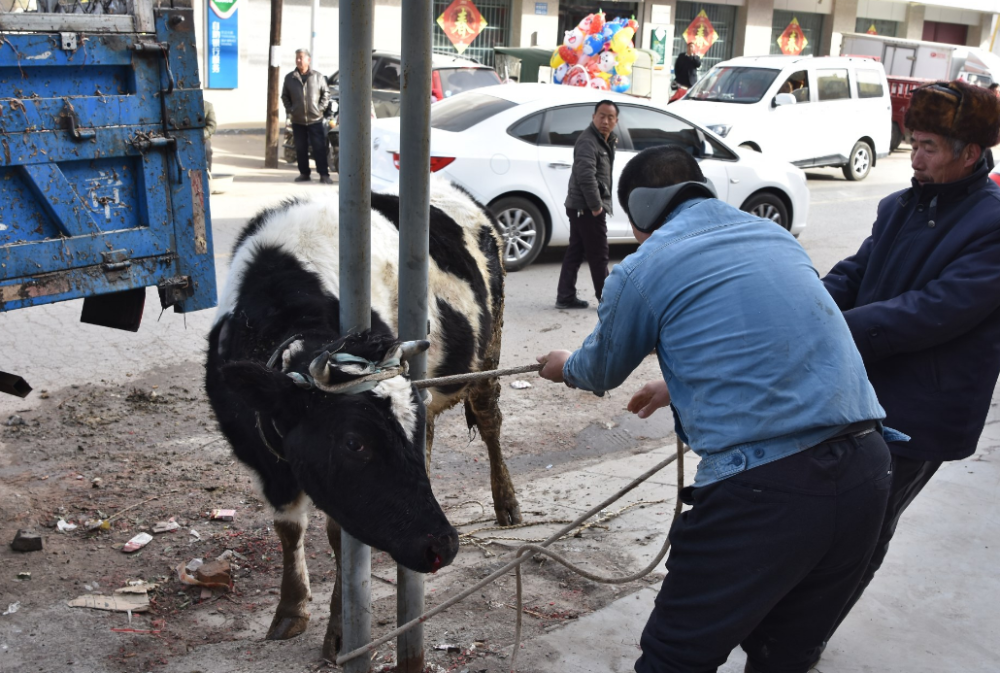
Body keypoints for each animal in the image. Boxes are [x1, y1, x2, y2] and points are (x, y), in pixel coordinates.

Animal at [200, 178, 520, 656]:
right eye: (355, 442)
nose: (443, 545)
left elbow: (340, 536)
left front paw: (339, 633)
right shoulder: (258, 455)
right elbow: (287, 528)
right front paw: (290, 610)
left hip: (489, 350)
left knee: (489, 421)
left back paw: (507, 504)